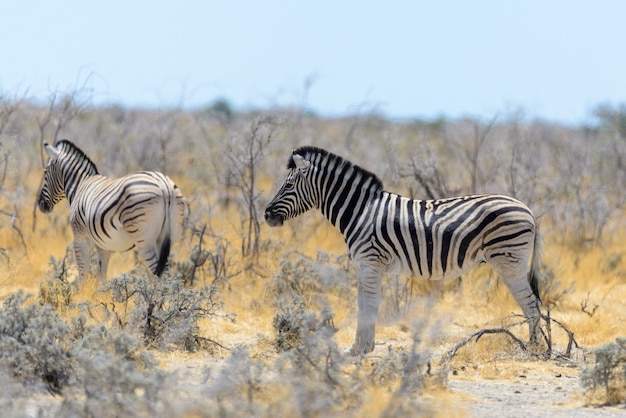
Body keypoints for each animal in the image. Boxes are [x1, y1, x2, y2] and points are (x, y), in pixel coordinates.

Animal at [36, 140, 185, 288]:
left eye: (45, 172)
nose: (40, 204)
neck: (79, 186)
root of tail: (164, 185)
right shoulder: (104, 246)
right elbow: (101, 276)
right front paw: (102, 293)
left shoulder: (80, 239)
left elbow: (83, 274)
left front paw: (80, 293)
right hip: (166, 236)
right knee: (166, 271)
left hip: (144, 240)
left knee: (157, 273)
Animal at [264, 147, 540, 356]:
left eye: (288, 185)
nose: (266, 215)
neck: (360, 212)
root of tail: (528, 209)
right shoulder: (364, 266)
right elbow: (362, 306)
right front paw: (360, 348)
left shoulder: (370, 263)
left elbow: (369, 306)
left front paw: (360, 349)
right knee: (533, 303)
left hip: (509, 261)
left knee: (531, 304)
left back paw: (534, 349)